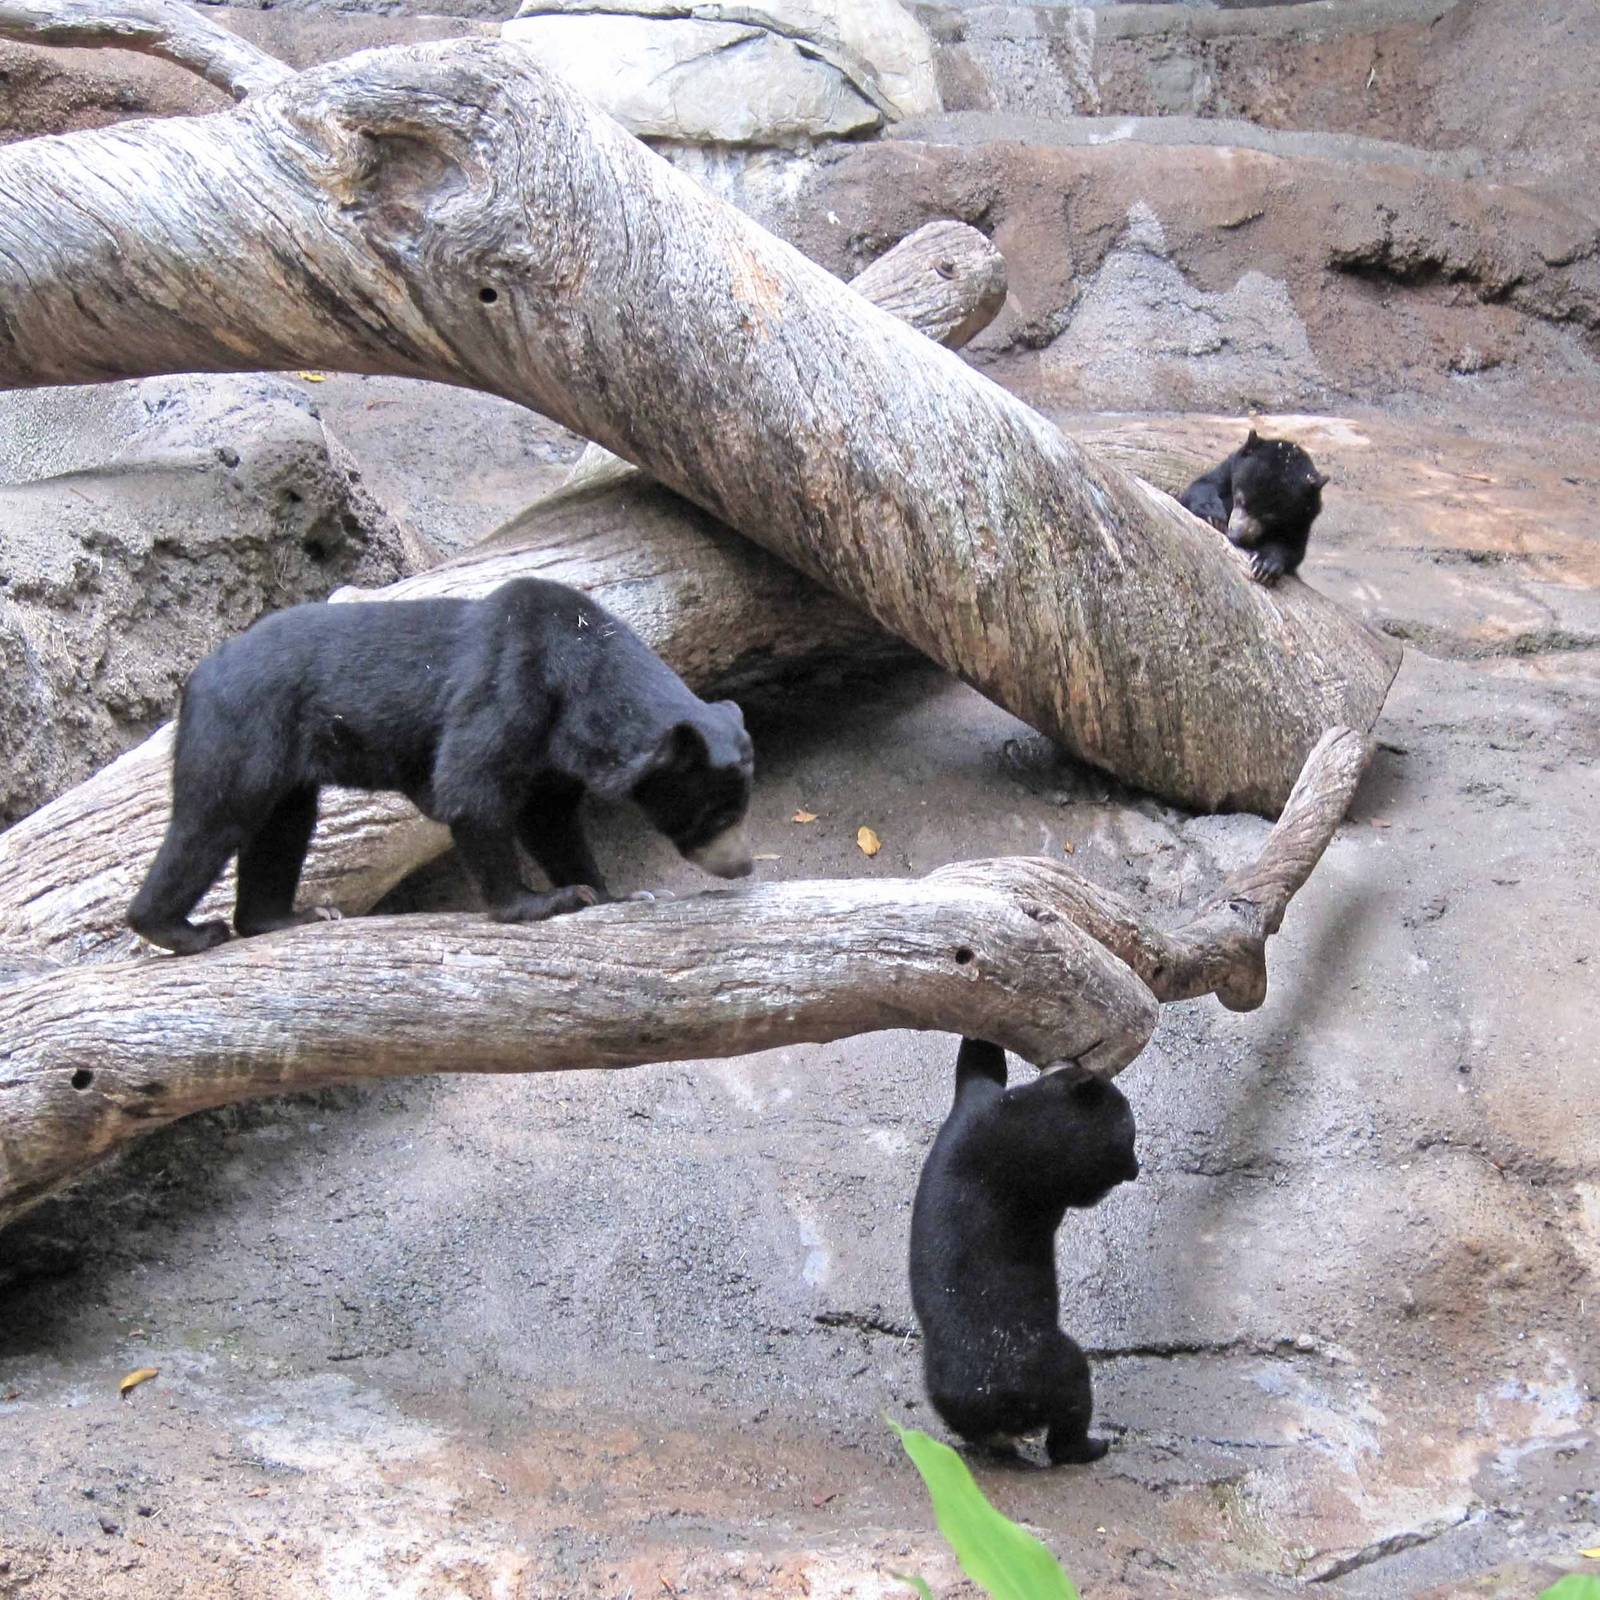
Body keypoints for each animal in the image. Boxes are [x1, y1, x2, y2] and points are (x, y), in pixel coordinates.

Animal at [127, 577, 755, 956]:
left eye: (739, 810)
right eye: (714, 814)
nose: (744, 865)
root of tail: (198, 675)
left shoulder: (554, 750)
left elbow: (549, 819)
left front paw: (614, 892)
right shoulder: (513, 690)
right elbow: (470, 787)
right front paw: (541, 901)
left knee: (283, 826)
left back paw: (290, 917)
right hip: (244, 727)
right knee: (213, 820)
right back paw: (181, 928)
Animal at [908, 1037, 1139, 1466]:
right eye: (1129, 1137)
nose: (1135, 1168)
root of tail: (984, 1402)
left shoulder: (973, 1107)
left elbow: (979, 1066)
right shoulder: (1049, 1173)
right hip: (1041, 1365)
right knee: (1073, 1394)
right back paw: (1089, 1446)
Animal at [1178, 430, 1328, 583]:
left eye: (1270, 517)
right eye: (1240, 499)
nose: (1236, 535)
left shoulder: (1303, 520)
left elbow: (1291, 546)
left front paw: (1264, 566)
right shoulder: (1229, 468)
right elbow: (1204, 485)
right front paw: (1213, 516)